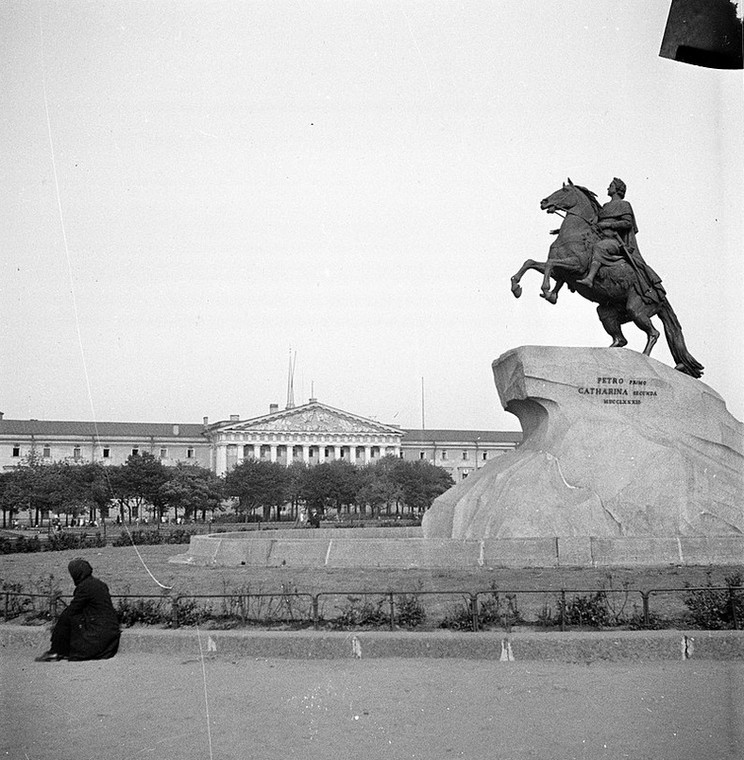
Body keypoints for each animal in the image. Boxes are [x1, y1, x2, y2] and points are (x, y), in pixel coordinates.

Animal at [512, 179, 704, 380]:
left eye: (564, 190)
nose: (543, 202)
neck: (576, 233)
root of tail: (662, 297)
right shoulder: (561, 271)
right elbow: (531, 263)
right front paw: (518, 287)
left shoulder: (576, 267)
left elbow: (549, 264)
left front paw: (546, 290)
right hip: (607, 313)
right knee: (621, 339)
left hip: (637, 310)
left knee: (654, 333)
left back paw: (644, 357)